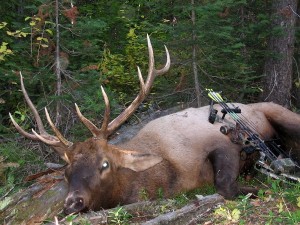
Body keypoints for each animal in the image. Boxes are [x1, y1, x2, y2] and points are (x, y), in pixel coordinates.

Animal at [9, 35, 300, 214]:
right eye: (66, 172)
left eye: (105, 164)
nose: (72, 203)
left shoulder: (220, 141)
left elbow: (225, 186)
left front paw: (257, 189)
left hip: (283, 114)